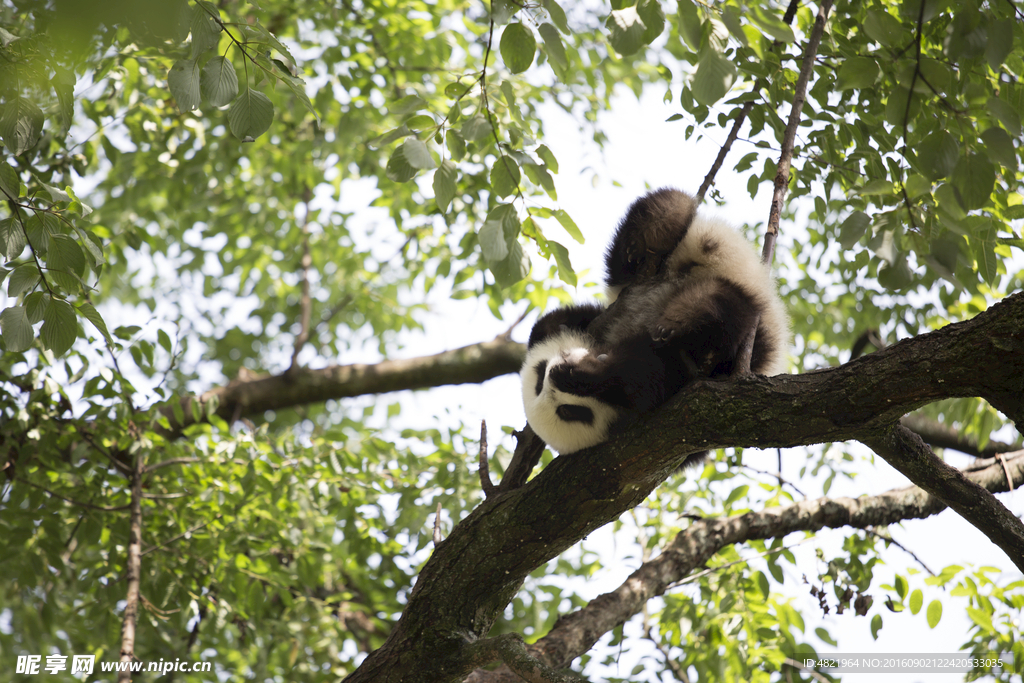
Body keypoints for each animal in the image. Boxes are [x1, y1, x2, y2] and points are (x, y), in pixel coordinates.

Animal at [520, 187, 790, 456]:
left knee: (649, 222)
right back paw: (682, 320)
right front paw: (586, 374)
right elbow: (652, 374)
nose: (555, 372)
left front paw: (574, 363)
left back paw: (646, 242)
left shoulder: (599, 320)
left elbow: (551, 324)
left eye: (539, 376)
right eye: (570, 412)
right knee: (721, 305)